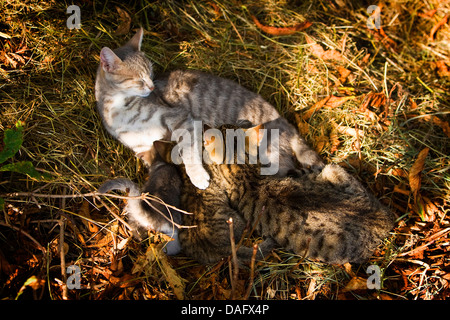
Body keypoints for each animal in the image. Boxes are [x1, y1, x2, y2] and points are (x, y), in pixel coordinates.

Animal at [95, 27, 324, 190]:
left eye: (150, 75)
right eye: (139, 79)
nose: (151, 87)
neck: (123, 113)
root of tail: (284, 121)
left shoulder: (181, 119)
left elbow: (188, 151)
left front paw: (197, 175)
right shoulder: (143, 149)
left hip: (269, 150)